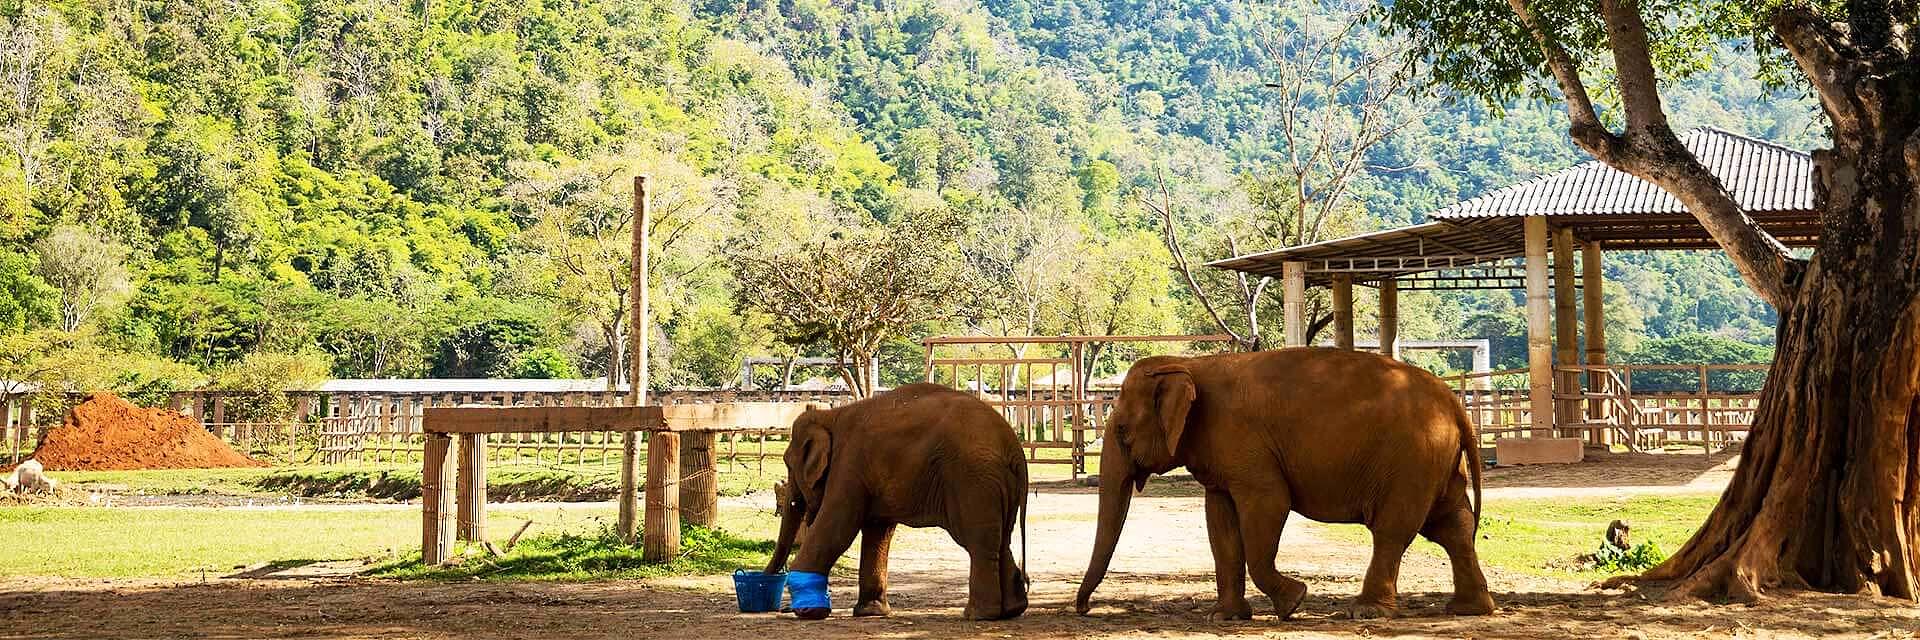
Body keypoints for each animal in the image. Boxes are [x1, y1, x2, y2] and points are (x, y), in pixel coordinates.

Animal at [764, 382, 1029, 620]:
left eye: (788, 464)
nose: (778, 607)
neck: (830, 415)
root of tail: (1013, 446)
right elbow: (877, 532)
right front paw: (870, 613)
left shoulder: (849, 464)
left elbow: (838, 529)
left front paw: (808, 612)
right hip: (997, 484)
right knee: (1001, 541)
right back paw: (1011, 610)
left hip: (973, 481)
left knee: (978, 542)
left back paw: (978, 615)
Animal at [1074, 348, 1493, 621]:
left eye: (1122, 432)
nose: (1084, 609)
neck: (1191, 363)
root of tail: (1454, 403)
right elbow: (1220, 522)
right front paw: (1224, 618)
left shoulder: (1247, 444)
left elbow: (1269, 505)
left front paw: (1293, 603)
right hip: (1436, 461)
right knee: (1453, 525)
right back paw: (1468, 609)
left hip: (1411, 460)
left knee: (1393, 530)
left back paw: (1366, 612)